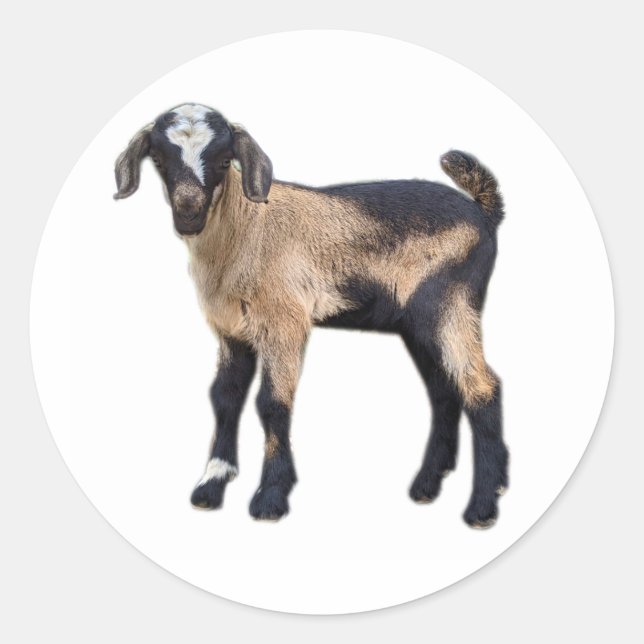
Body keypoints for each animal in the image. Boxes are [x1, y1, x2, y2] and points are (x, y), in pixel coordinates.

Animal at [114, 103, 509, 528]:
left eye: (223, 160)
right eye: (158, 158)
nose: (189, 212)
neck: (246, 228)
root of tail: (484, 213)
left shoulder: (285, 320)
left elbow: (272, 403)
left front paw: (271, 497)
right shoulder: (231, 328)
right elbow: (225, 396)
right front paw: (211, 484)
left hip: (448, 303)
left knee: (481, 388)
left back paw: (482, 505)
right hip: (417, 323)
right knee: (444, 391)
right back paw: (428, 485)